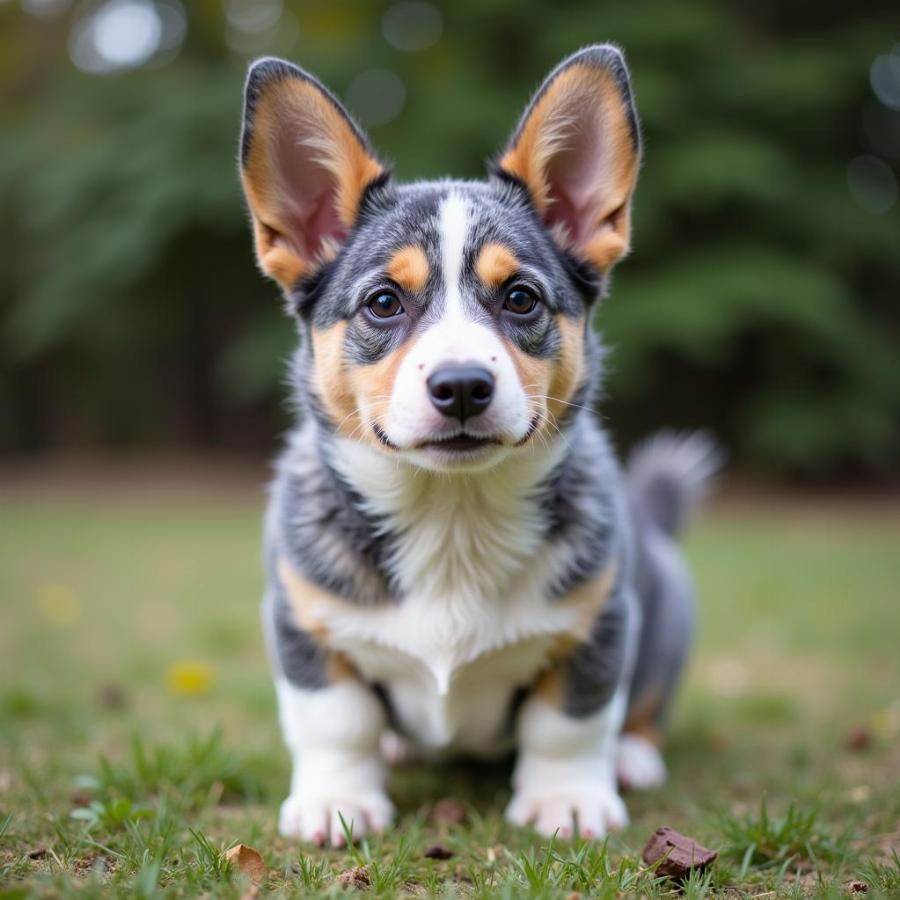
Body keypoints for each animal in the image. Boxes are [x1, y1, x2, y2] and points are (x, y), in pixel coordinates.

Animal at [239, 44, 716, 844]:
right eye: (383, 302)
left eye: (520, 297)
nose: (462, 385)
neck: (451, 512)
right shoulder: (302, 621)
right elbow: (335, 720)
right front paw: (336, 802)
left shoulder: (601, 621)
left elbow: (571, 721)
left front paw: (566, 801)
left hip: (669, 610)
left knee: (644, 705)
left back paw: (633, 758)